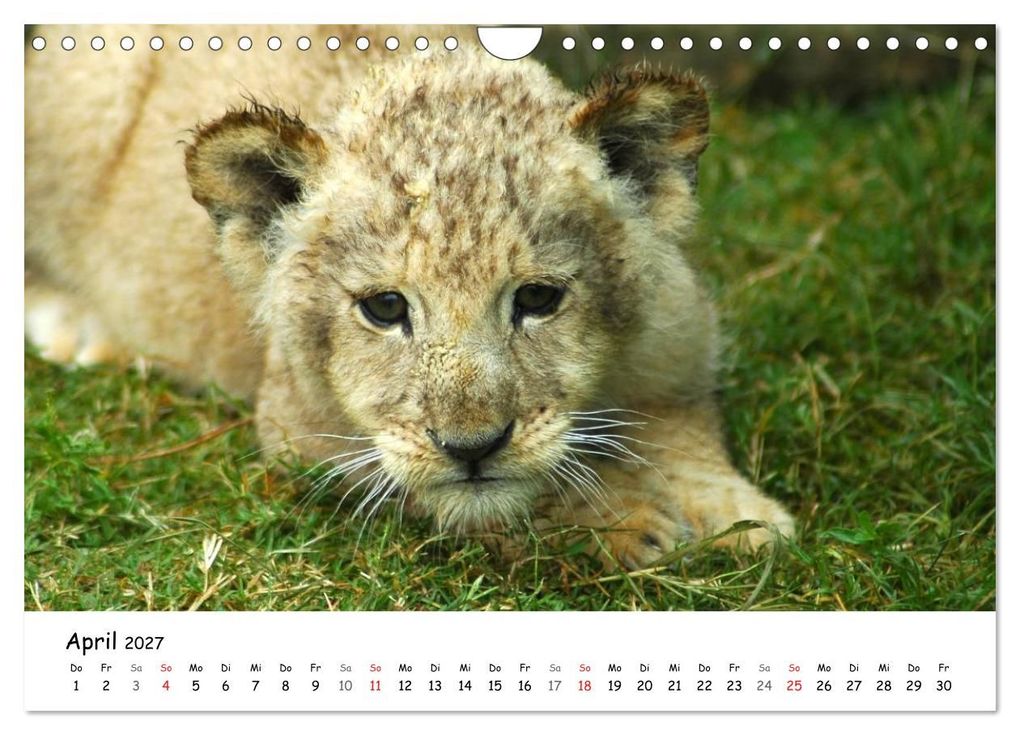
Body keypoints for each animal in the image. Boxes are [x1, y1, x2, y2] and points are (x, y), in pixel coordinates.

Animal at [26, 25, 794, 570]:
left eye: (538, 298)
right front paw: (625, 520)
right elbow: (502, 500)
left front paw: (744, 518)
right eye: (386, 308)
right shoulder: (301, 434)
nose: (471, 447)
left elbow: (684, 427)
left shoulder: (682, 331)